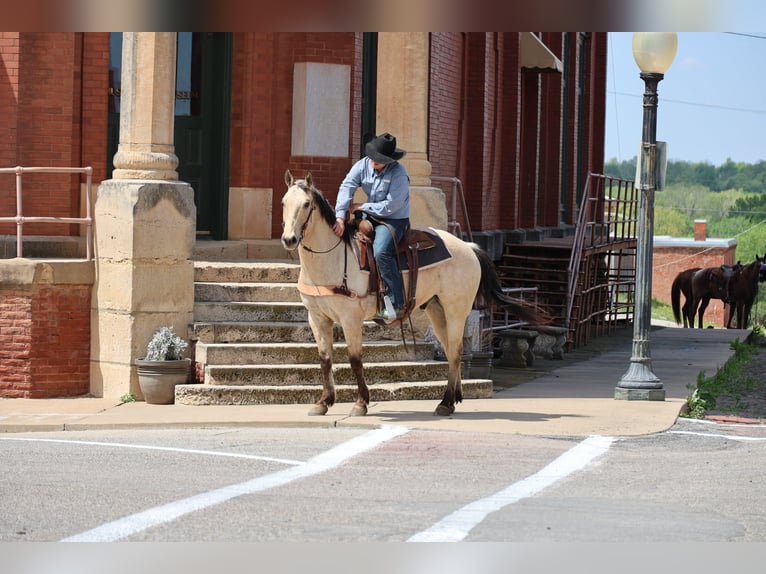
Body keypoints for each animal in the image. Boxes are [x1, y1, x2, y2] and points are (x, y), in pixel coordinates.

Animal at [280, 170, 544, 417]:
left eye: (307, 204)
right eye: (283, 202)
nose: (289, 239)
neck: (331, 258)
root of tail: (468, 247)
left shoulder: (350, 319)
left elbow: (355, 360)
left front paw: (361, 403)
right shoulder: (317, 318)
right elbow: (325, 360)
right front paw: (323, 402)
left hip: (456, 310)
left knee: (456, 351)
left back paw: (445, 402)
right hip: (436, 310)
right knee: (450, 350)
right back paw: (453, 399)